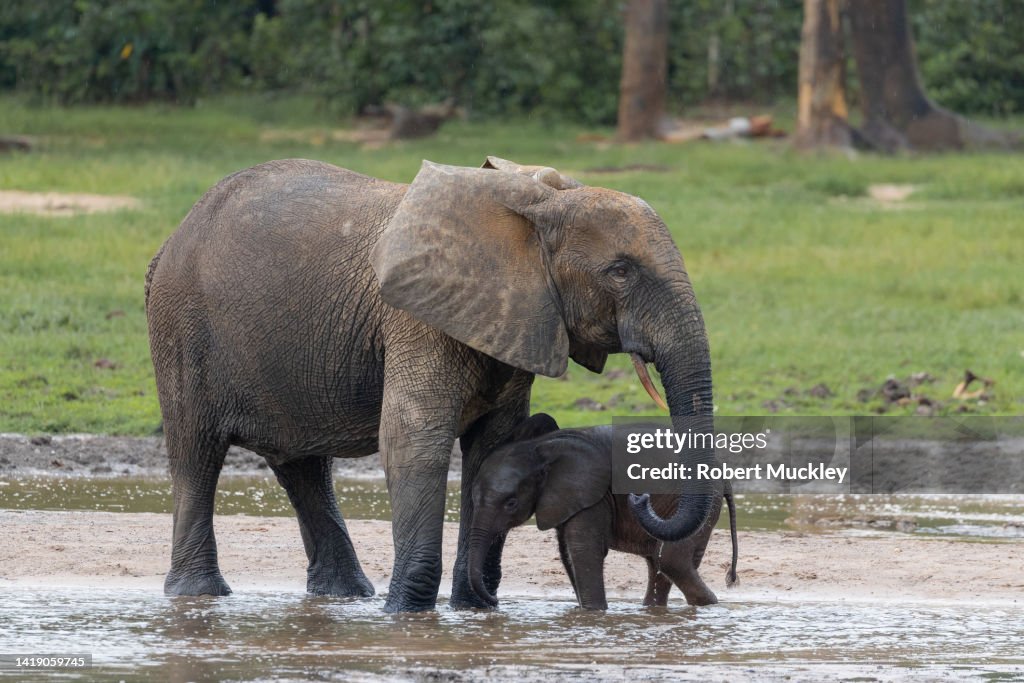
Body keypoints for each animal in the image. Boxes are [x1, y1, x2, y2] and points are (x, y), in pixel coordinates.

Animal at [468, 414, 738, 610]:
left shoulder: (592, 493)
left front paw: (593, 613)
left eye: (511, 503)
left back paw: (709, 607)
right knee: (658, 564)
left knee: (671, 560)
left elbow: (583, 549)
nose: (495, 600)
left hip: (704, 501)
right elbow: (567, 553)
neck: (538, 447)